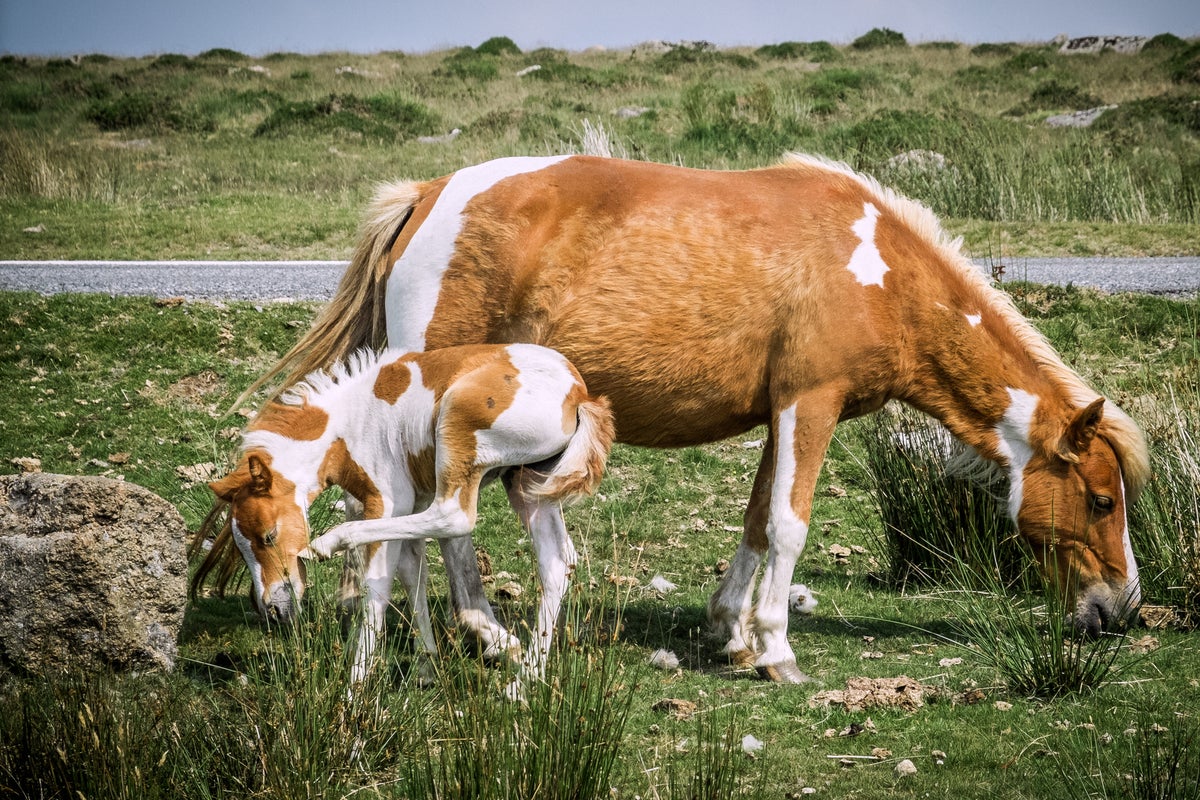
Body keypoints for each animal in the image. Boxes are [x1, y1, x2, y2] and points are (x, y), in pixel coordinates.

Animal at [191, 343, 614, 683]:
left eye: (269, 535)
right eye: (242, 547)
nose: (273, 609)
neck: (351, 425)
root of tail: (579, 394)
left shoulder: (390, 501)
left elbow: (377, 586)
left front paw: (355, 690)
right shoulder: (414, 505)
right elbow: (414, 576)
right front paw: (427, 666)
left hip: (458, 428)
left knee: (454, 516)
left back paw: (329, 542)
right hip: (528, 483)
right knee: (557, 560)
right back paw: (524, 679)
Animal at [238, 152, 1150, 684]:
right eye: (1103, 500)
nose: (1121, 609)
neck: (875, 270)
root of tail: (428, 196)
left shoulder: (781, 412)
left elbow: (755, 520)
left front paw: (731, 629)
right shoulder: (810, 404)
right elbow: (789, 524)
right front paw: (775, 647)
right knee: (444, 526)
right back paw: (489, 634)